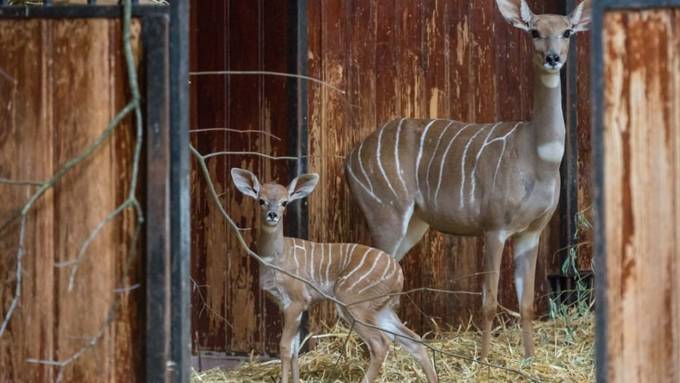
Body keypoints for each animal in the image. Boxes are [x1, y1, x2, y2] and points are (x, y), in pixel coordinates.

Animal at [231, 170, 438, 383]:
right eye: (261, 200)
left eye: (284, 202)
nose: (272, 215)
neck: (275, 258)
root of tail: (398, 275)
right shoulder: (289, 304)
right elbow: (296, 349)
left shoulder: (297, 300)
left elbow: (285, 347)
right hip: (380, 308)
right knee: (413, 339)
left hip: (354, 302)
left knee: (380, 344)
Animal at [346, 0, 588, 360]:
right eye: (534, 31)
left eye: (568, 31)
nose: (553, 58)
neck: (536, 156)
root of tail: (349, 159)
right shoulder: (494, 227)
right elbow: (488, 301)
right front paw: (485, 359)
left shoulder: (532, 232)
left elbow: (527, 303)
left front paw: (529, 358)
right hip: (386, 214)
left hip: (414, 224)